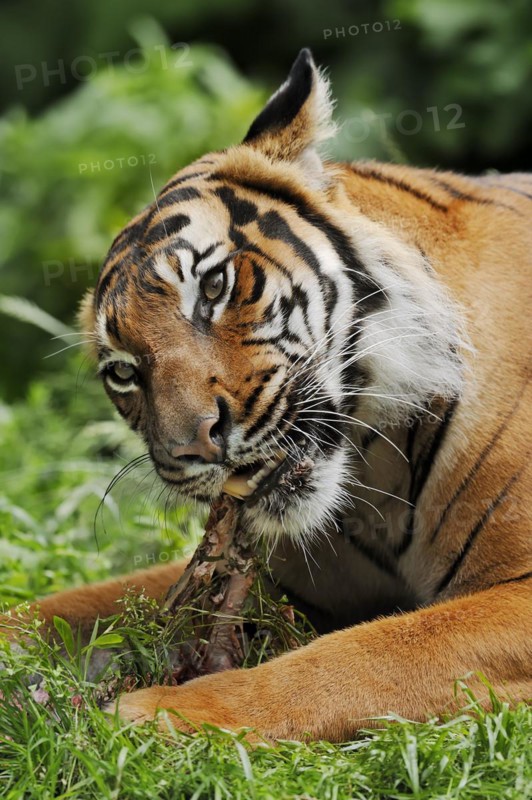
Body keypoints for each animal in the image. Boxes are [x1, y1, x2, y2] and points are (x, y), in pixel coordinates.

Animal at [13, 48, 532, 741]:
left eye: (213, 286)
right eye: (124, 373)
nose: (192, 449)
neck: (378, 462)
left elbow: (371, 654)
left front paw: (160, 714)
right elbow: (72, 605)